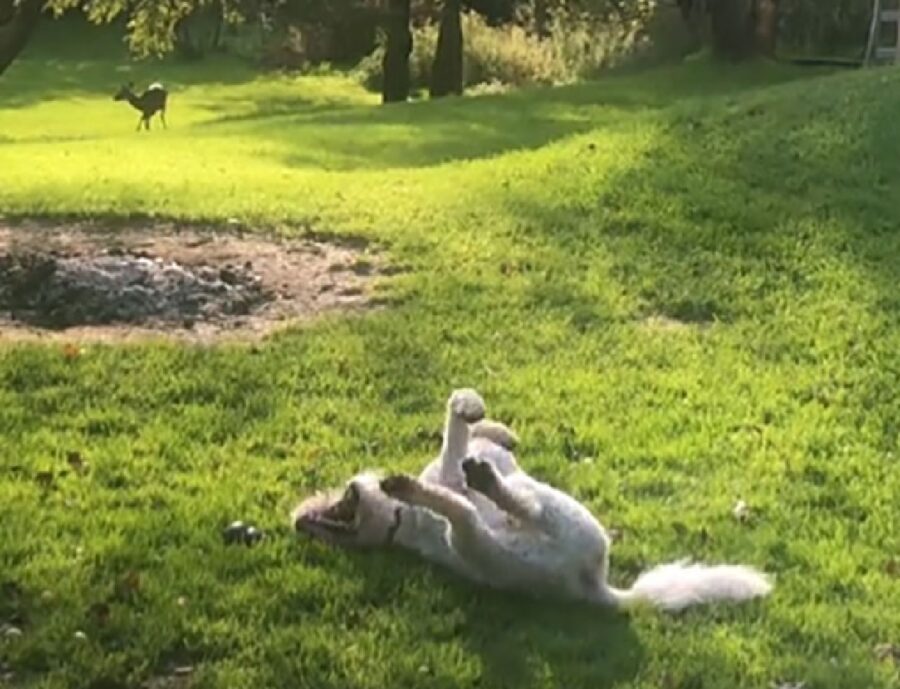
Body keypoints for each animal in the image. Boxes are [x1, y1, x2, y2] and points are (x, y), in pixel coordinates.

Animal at [296, 390, 772, 612]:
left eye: (339, 498)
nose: (300, 521)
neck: (403, 521)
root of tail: (592, 587)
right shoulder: (450, 472)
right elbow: (456, 442)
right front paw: (471, 419)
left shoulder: (455, 465)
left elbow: (463, 427)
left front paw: (473, 409)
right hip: (498, 531)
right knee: (484, 509)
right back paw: (465, 486)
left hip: (500, 533)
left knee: (489, 507)